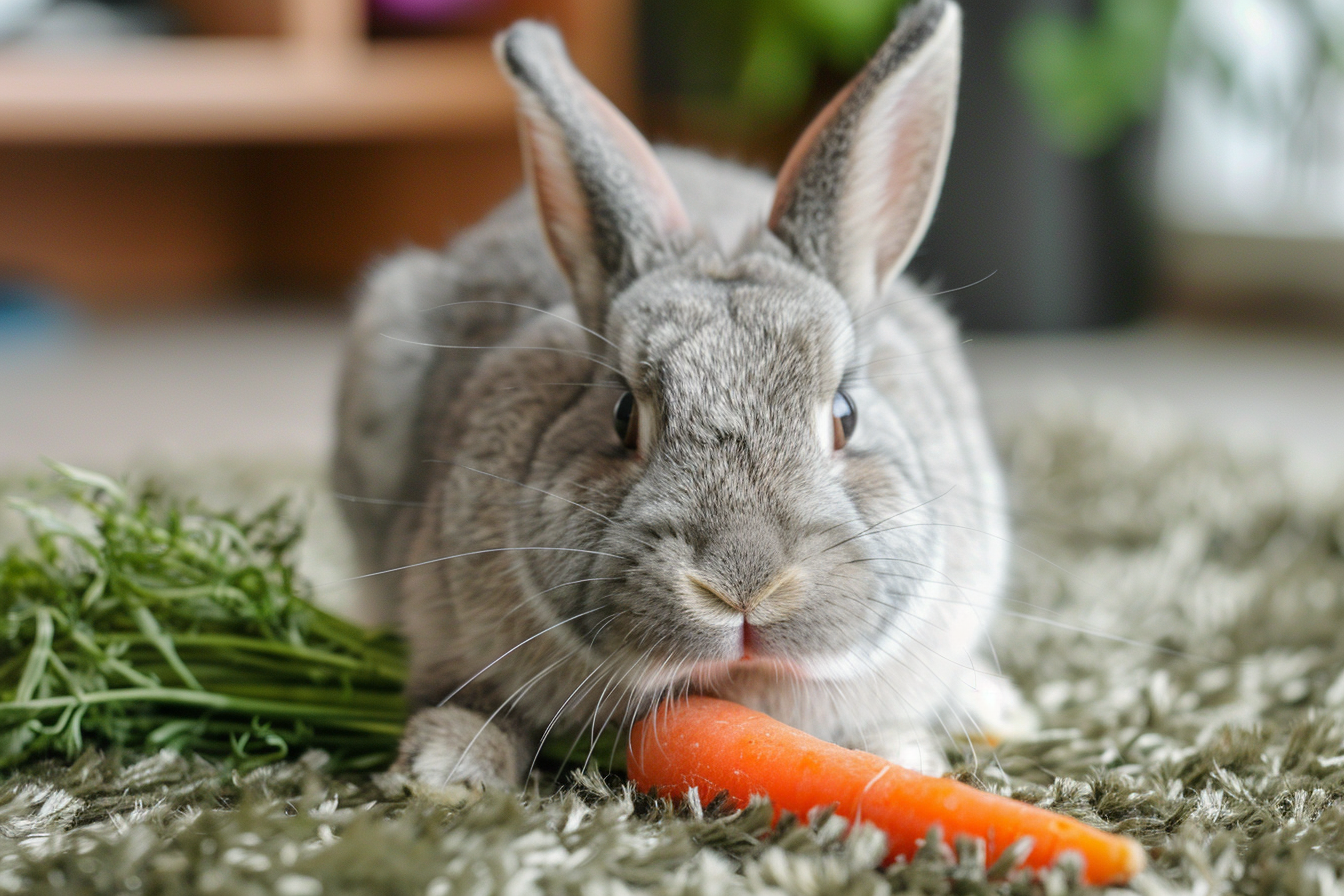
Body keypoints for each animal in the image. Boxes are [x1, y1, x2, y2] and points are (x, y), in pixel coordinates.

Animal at [333, 0, 1011, 790]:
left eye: (846, 416)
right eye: (623, 415)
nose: (743, 585)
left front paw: (906, 762)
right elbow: (473, 706)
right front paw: (447, 771)